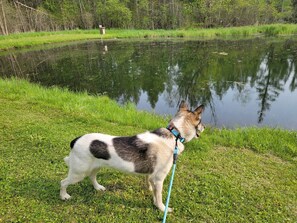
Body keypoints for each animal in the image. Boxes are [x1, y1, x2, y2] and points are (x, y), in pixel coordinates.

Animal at [60, 101, 204, 213]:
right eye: (201, 121)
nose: (204, 127)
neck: (174, 133)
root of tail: (75, 140)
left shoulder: (152, 175)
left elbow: (150, 185)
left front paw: (150, 191)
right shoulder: (159, 178)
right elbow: (159, 197)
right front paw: (162, 208)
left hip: (94, 167)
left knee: (92, 177)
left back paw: (98, 187)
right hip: (79, 173)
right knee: (63, 182)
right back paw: (64, 196)